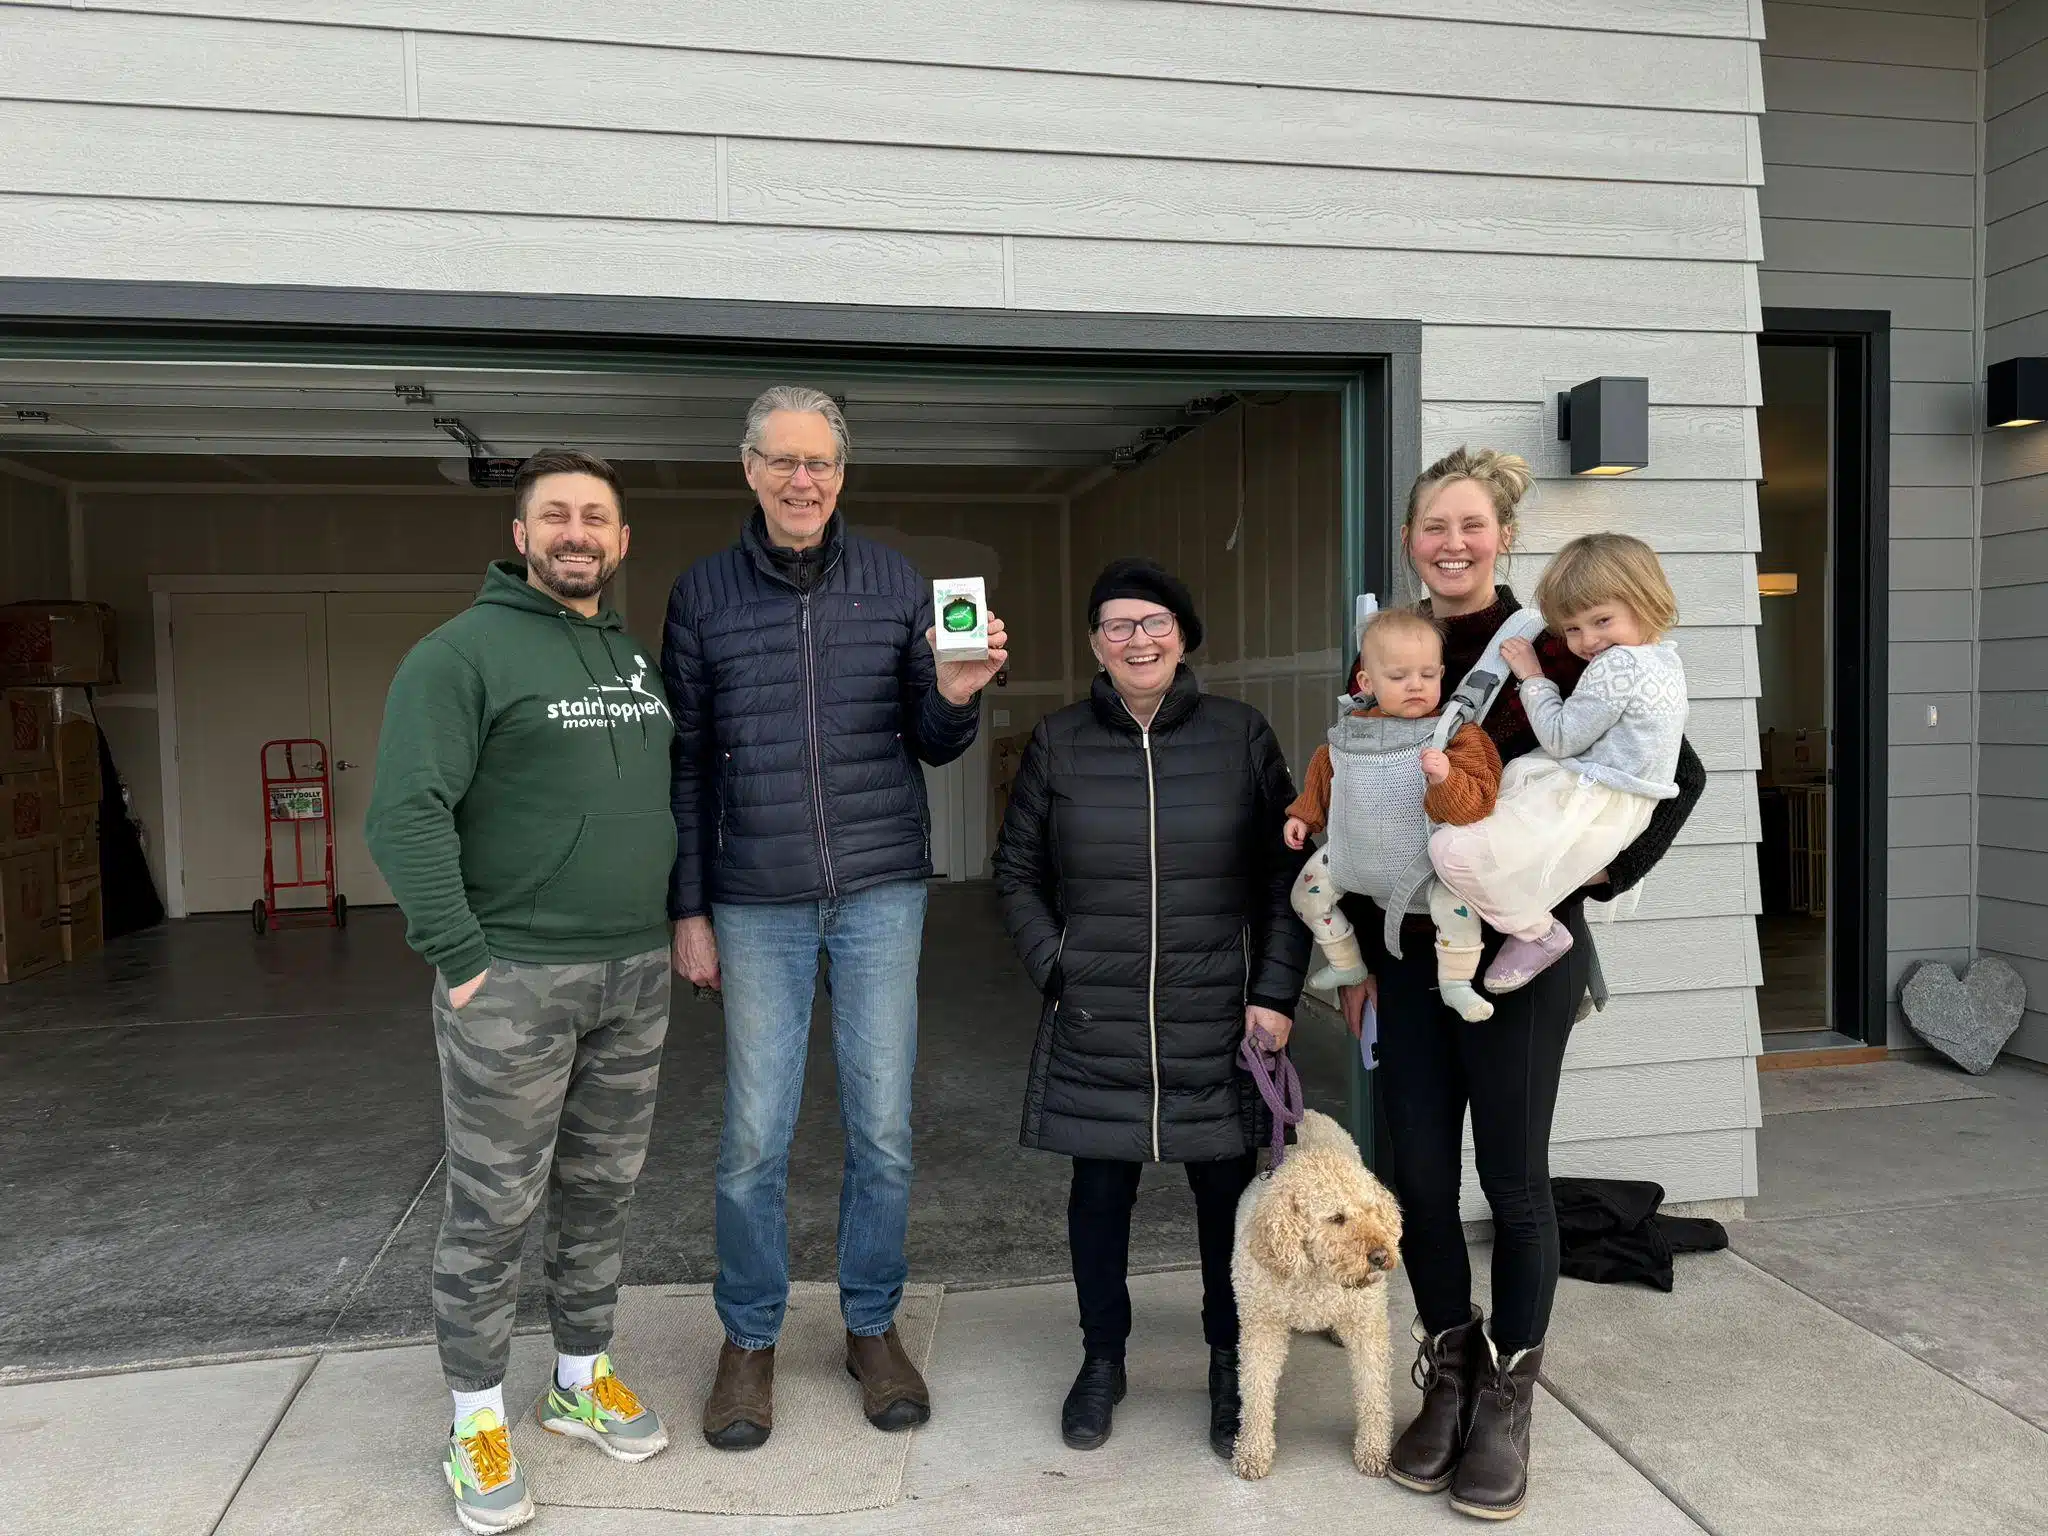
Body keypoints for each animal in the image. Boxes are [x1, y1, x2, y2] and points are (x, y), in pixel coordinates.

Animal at [1229, 1109, 1402, 1481]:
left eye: (1371, 1210)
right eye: (1336, 1218)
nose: (1381, 1256)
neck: (1315, 1274)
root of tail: (1304, 1111)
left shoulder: (1367, 1324)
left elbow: (1374, 1391)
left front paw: (1374, 1449)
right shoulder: (1262, 1326)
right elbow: (1256, 1389)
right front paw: (1253, 1450)